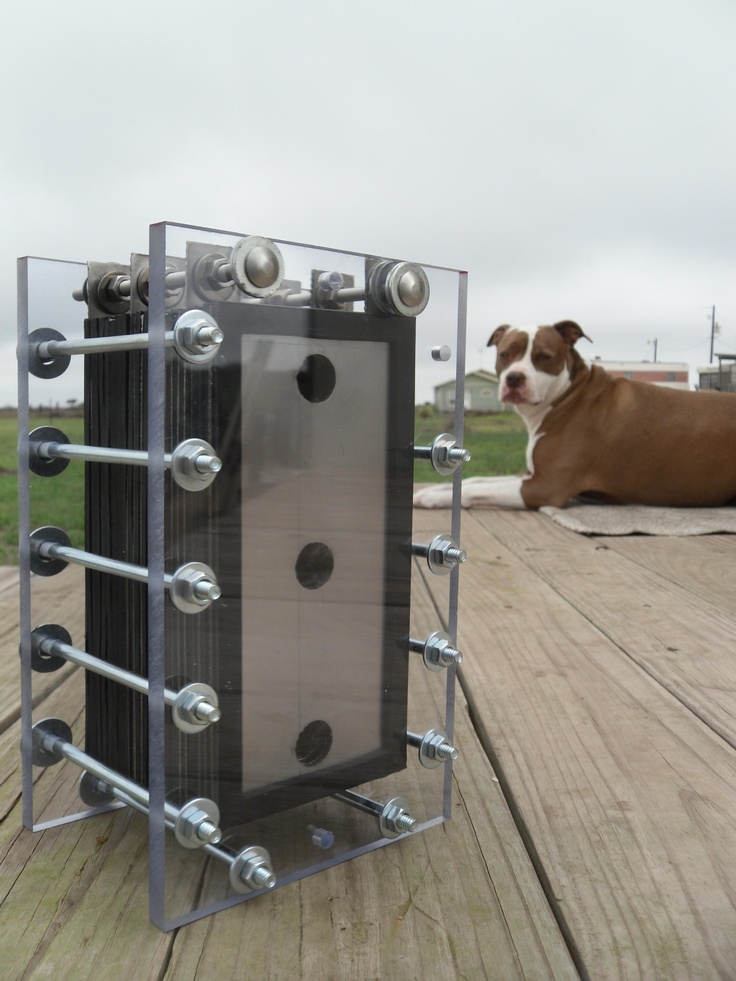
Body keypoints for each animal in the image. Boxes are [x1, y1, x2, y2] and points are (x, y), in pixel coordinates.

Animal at [412, 320, 736, 510]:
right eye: (505, 353)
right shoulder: (532, 472)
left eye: (544, 356)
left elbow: (476, 490)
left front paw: (432, 497)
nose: (514, 379)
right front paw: (440, 488)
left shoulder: (544, 486)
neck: (567, 395)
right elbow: (475, 481)